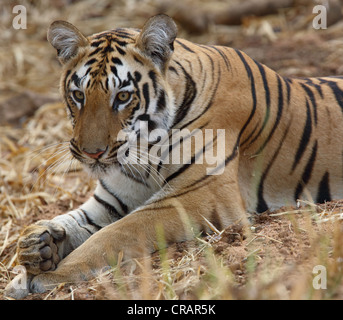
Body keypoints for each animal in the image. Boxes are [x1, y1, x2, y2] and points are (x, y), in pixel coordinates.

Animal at [4, 12, 343, 298]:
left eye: (122, 96)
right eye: (78, 95)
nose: (92, 153)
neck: (145, 149)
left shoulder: (198, 195)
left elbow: (114, 235)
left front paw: (53, 274)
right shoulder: (111, 202)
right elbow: (73, 222)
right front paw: (35, 250)